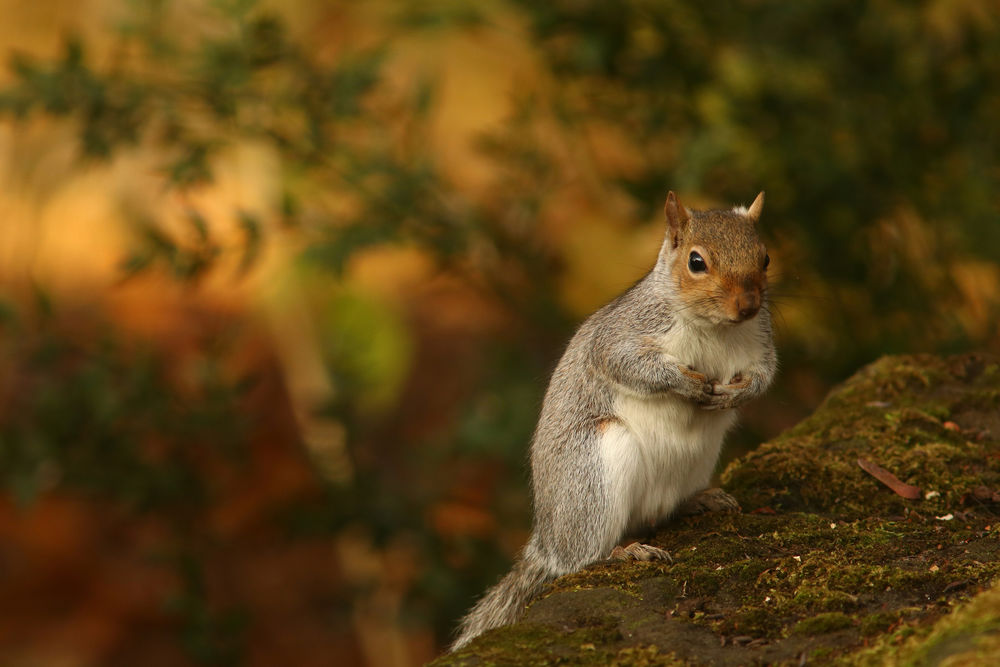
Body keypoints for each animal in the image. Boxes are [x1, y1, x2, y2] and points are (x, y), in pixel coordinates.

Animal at [450, 191, 777, 651]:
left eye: (764, 258)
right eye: (696, 262)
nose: (747, 306)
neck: (716, 328)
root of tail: (548, 539)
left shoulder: (760, 344)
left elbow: (765, 376)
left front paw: (738, 394)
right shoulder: (625, 334)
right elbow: (626, 363)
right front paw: (685, 384)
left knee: (656, 514)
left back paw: (699, 501)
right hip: (597, 468)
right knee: (580, 558)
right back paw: (623, 552)